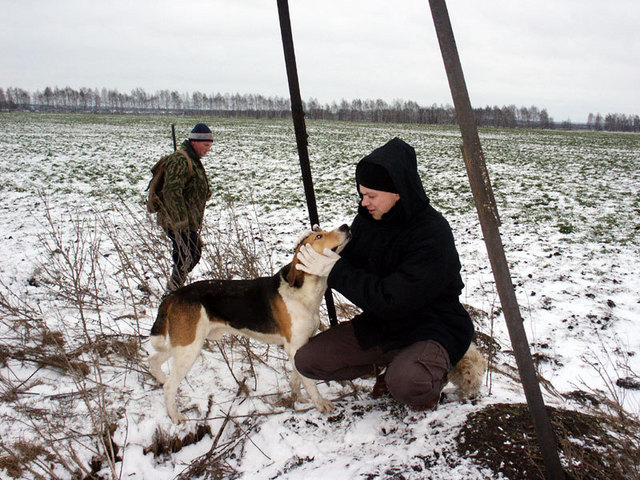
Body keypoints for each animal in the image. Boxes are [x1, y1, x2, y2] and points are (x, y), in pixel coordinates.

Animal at [148, 223, 352, 422]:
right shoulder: (294, 346)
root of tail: (175, 294)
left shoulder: (302, 344)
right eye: (319, 236)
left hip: (182, 343)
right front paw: (320, 403)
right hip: (189, 348)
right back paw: (175, 416)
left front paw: (298, 397)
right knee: (169, 386)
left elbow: (297, 377)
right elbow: (308, 381)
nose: (345, 226)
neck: (304, 291)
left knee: (153, 360)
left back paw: (160, 379)